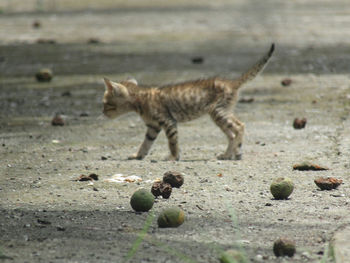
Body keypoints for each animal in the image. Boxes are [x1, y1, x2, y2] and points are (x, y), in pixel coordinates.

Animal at [102, 43, 274, 161]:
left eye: (105, 103)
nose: (102, 113)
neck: (140, 101)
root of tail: (231, 82)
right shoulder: (153, 126)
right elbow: (146, 143)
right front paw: (138, 155)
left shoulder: (168, 122)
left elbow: (172, 142)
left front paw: (173, 157)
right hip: (219, 113)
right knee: (231, 133)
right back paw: (228, 154)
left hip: (218, 111)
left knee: (239, 126)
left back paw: (236, 152)